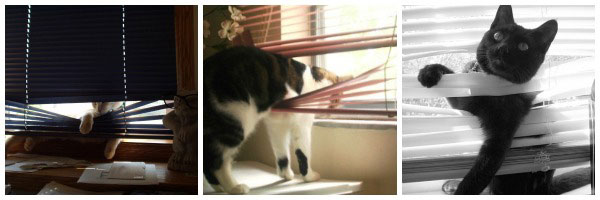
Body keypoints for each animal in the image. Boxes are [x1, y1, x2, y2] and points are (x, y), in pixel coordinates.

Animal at [205, 45, 350, 194]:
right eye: (336, 100)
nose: (333, 112)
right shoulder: (302, 125)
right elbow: (303, 153)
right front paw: (309, 176)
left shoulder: (276, 124)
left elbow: (281, 151)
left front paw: (285, 174)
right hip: (235, 120)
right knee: (218, 161)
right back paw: (233, 187)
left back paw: (218, 187)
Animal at [422, 5, 592, 195]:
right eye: (498, 36)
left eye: (523, 46)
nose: (503, 48)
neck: (489, 84)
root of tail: (547, 188)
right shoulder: (463, 100)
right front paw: (429, 71)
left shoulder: (499, 141)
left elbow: (477, 177)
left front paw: (462, 190)